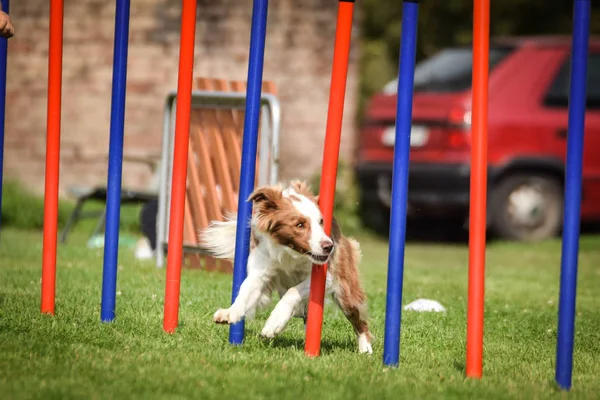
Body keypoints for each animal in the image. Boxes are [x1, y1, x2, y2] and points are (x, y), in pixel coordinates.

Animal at [199, 180, 372, 354]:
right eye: (300, 224)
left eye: (321, 222)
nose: (329, 246)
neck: (290, 252)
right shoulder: (260, 270)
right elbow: (244, 291)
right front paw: (230, 312)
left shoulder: (328, 276)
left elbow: (293, 291)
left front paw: (273, 323)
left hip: (346, 293)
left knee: (359, 321)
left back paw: (365, 349)